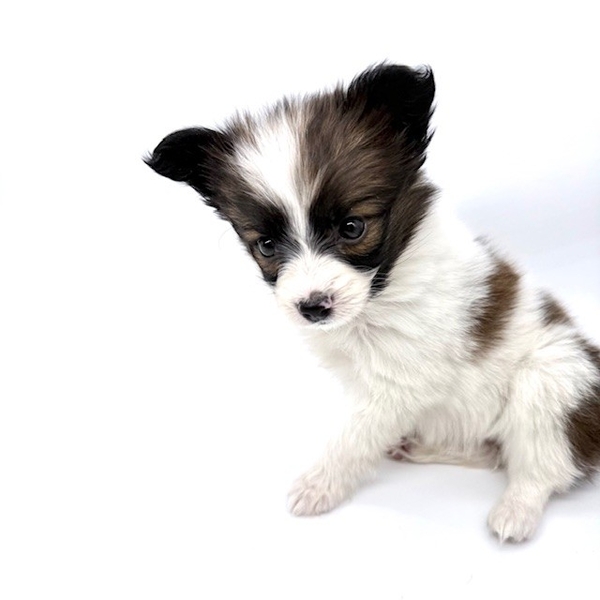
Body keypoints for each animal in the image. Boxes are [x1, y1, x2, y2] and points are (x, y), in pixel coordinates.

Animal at [145, 64, 600, 542]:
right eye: (266, 246)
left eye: (352, 227)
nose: (313, 307)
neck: (380, 295)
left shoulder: (400, 384)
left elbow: (354, 438)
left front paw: (319, 485)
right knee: (495, 452)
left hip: (554, 375)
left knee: (541, 466)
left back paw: (516, 510)